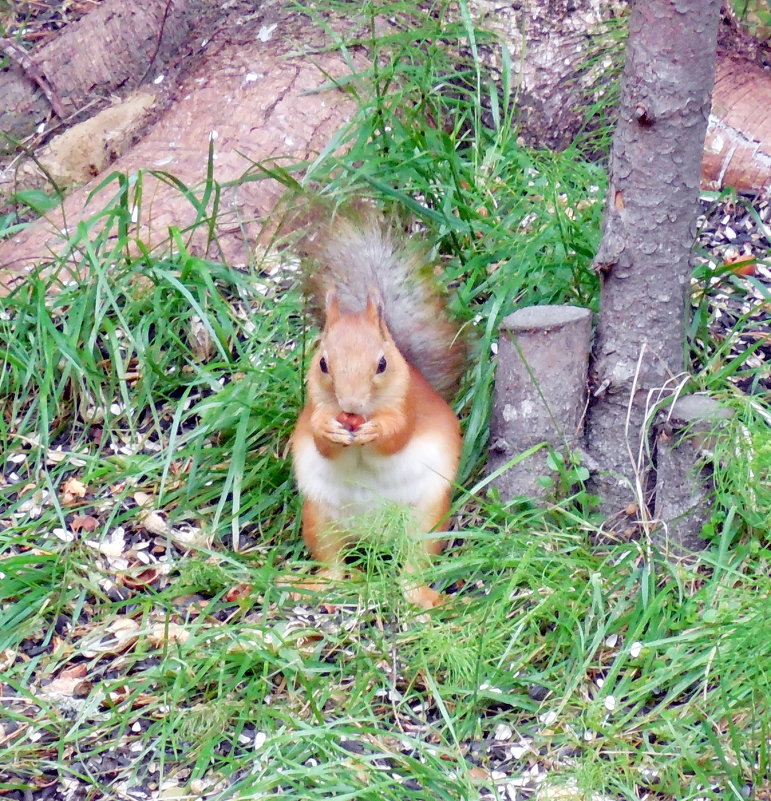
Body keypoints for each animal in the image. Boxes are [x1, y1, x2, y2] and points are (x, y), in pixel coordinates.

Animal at [292, 212, 464, 608]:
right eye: (323, 363)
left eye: (382, 363)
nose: (351, 406)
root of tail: (374, 537)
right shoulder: (312, 405)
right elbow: (317, 437)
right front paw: (328, 428)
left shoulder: (410, 405)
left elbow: (397, 435)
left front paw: (376, 430)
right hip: (319, 518)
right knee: (333, 562)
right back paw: (315, 584)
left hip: (425, 522)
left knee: (413, 566)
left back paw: (424, 598)